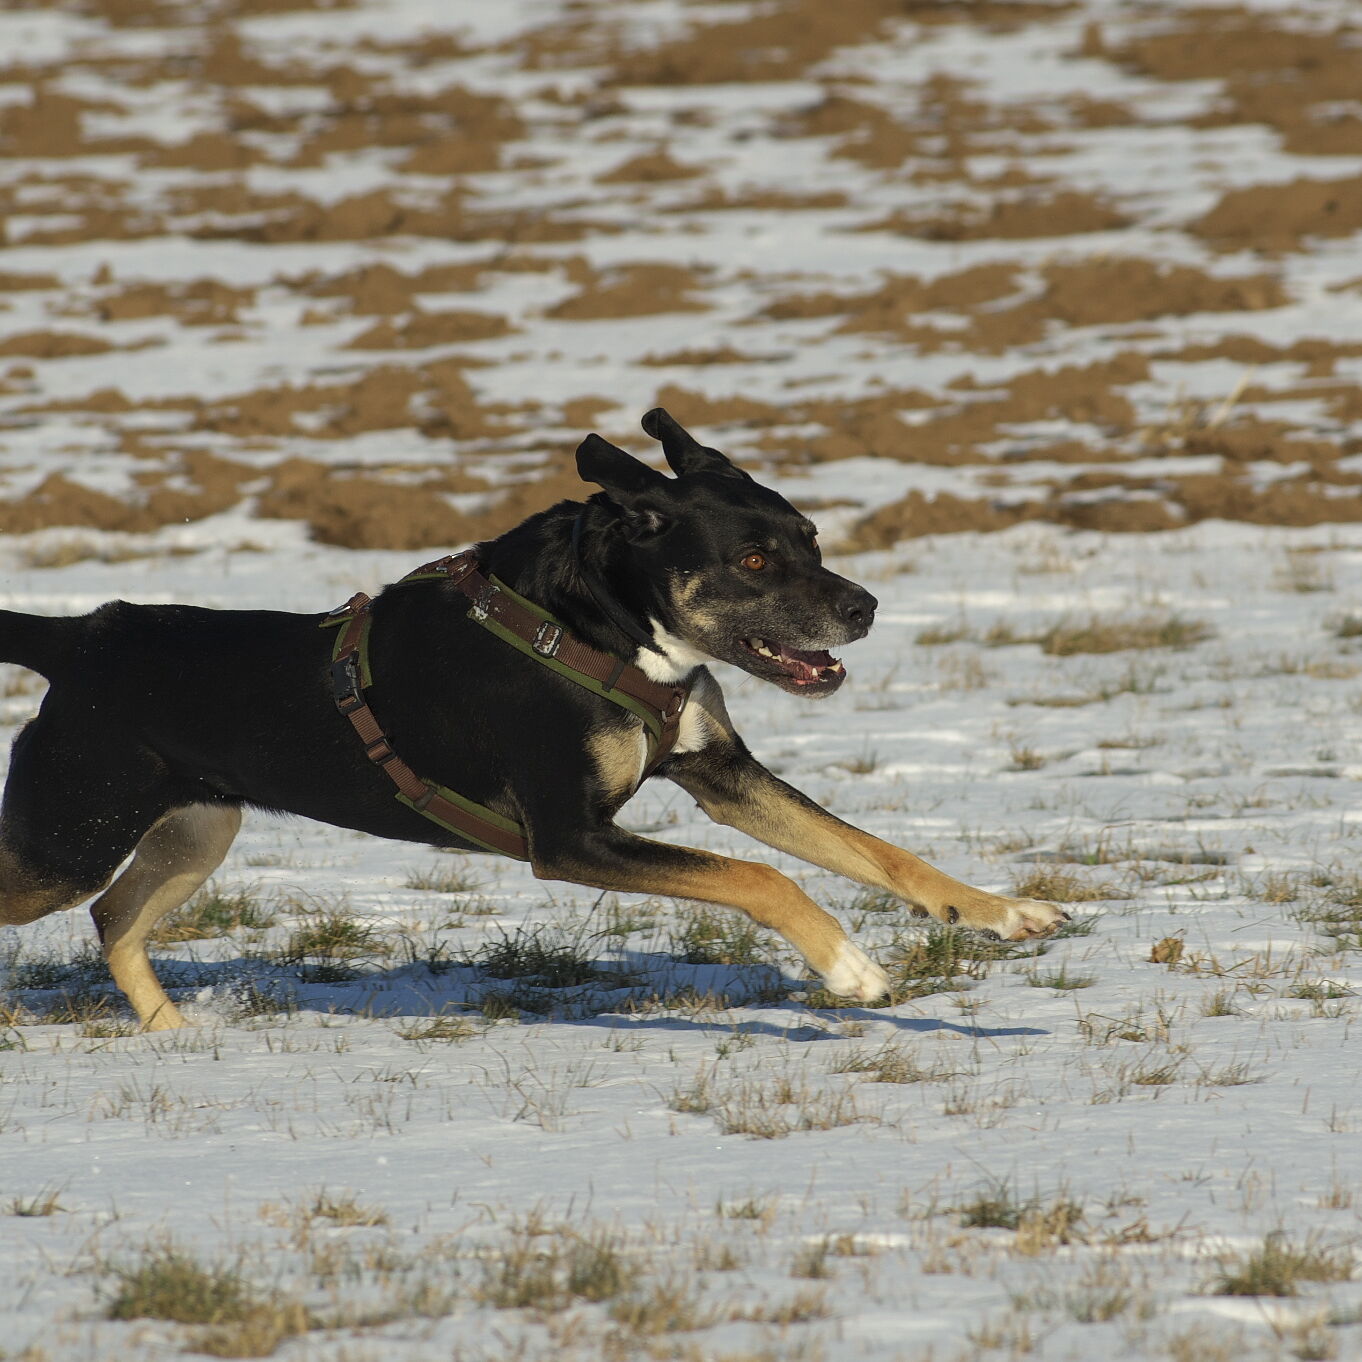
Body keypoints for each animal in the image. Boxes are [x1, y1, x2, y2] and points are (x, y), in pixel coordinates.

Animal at [0, 408, 1065, 1029]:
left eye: (810, 536)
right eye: (756, 560)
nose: (866, 608)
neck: (602, 630)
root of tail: (82, 639)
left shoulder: (722, 775)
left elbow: (872, 850)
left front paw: (1000, 911)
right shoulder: (571, 836)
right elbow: (762, 876)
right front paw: (850, 969)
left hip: (189, 831)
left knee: (114, 918)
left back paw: (175, 1039)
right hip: (69, 835)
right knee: (85, 903)